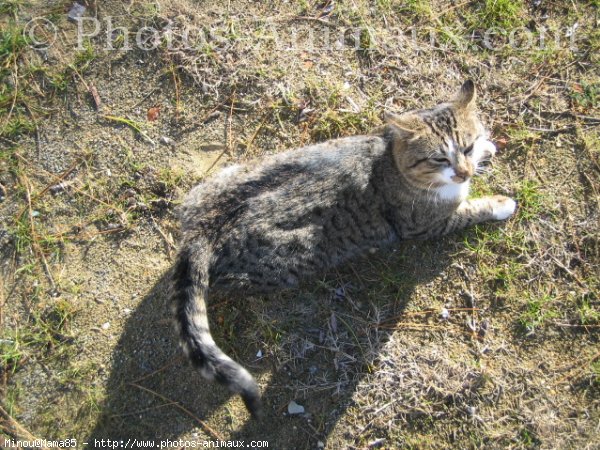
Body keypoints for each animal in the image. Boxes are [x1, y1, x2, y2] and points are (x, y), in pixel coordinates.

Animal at [170, 80, 516, 418]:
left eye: (467, 147)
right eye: (439, 159)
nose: (464, 172)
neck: (391, 159)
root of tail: (204, 229)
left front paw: (487, 147)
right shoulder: (423, 225)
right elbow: (469, 210)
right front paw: (501, 203)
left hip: (227, 174)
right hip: (285, 260)